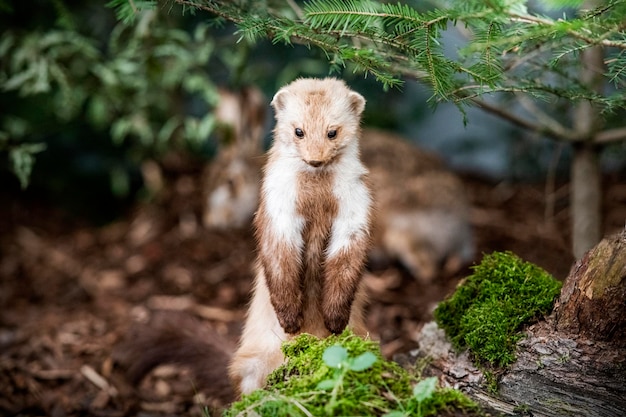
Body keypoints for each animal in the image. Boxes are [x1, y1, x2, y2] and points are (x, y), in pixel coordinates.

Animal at [232, 77, 372, 394]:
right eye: (299, 130)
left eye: (332, 131)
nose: (316, 159)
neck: (316, 199)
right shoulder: (277, 211)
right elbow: (280, 264)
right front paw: (290, 320)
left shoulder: (355, 212)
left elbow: (347, 264)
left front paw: (335, 319)